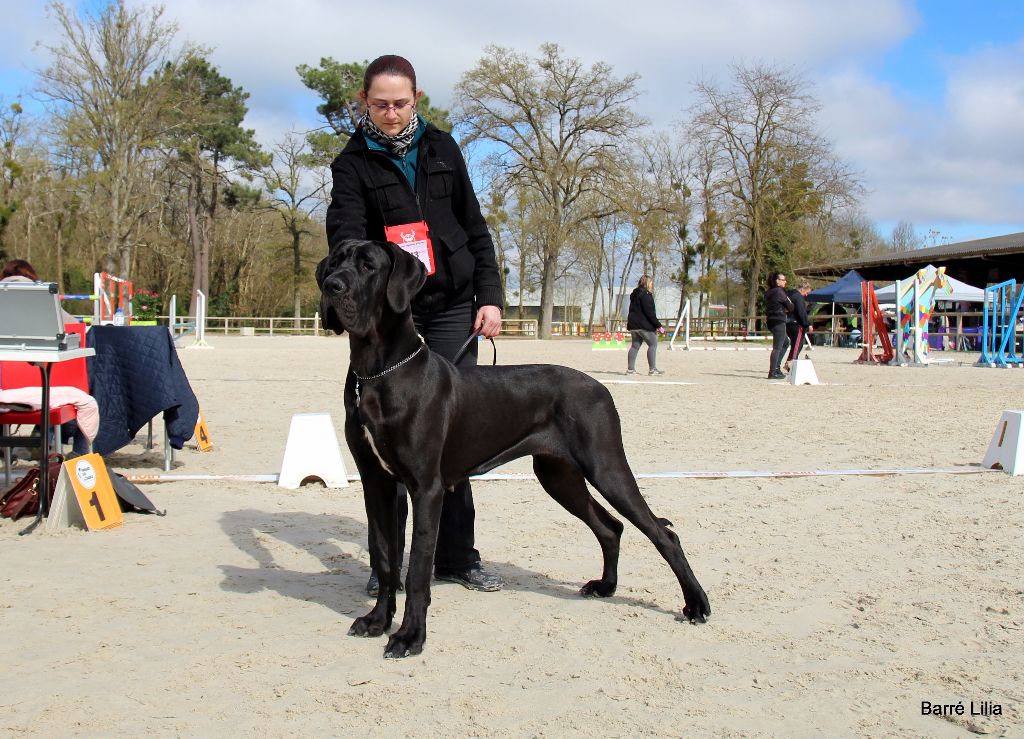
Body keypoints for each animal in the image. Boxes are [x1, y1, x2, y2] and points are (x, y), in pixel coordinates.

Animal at [315, 237, 708, 655]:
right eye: (334, 263)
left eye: (368, 266)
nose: (332, 287)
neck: (376, 371)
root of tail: (600, 386)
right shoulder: (377, 482)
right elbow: (386, 557)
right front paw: (377, 620)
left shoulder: (426, 487)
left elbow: (418, 567)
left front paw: (409, 635)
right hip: (558, 475)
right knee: (610, 527)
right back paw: (605, 586)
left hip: (606, 466)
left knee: (663, 534)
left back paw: (696, 604)